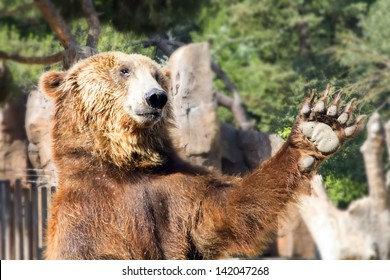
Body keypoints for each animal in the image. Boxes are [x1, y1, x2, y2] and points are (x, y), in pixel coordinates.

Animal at [38, 51, 366, 260]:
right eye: (124, 70)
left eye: (156, 75)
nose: (156, 97)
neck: (123, 165)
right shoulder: (87, 215)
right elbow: (97, 250)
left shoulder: (175, 192)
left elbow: (227, 210)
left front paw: (320, 126)